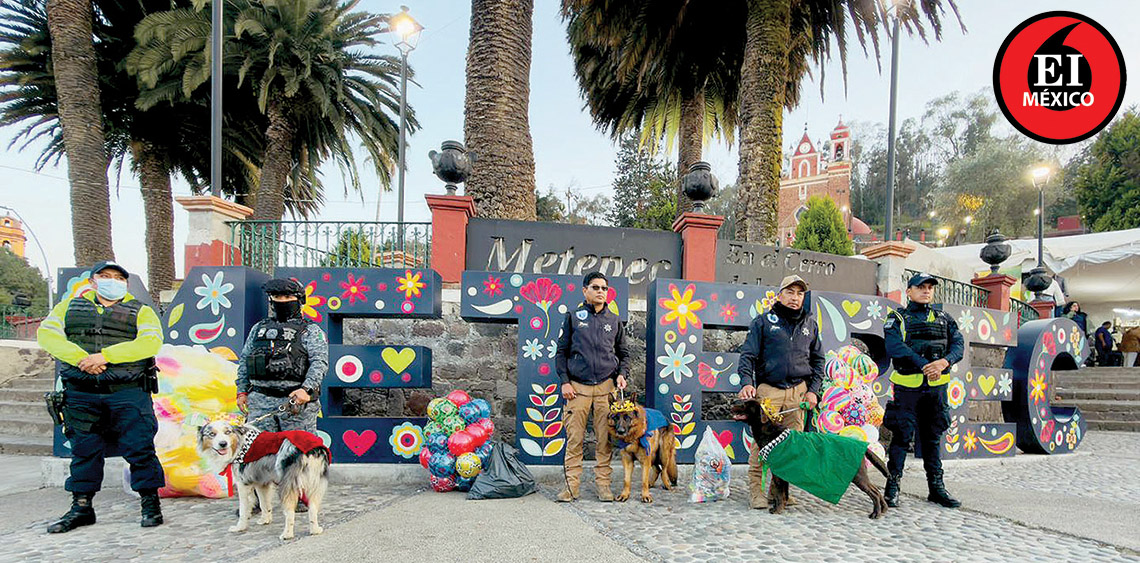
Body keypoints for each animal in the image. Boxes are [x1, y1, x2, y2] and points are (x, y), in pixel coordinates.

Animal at [197, 421, 331, 540]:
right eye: (212, 434)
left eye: (227, 432)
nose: (223, 444)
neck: (239, 443)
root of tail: (313, 450)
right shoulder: (262, 482)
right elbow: (264, 503)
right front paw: (265, 520)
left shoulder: (243, 483)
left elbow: (244, 509)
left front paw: (240, 527)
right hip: (315, 482)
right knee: (313, 508)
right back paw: (315, 530)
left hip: (288, 484)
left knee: (290, 512)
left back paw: (287, 534)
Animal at [731, 400, 889, 519]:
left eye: (745, 404)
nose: (732, 402)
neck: (770, 433)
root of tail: (864, 446)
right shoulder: (784, 472)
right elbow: (784, 492)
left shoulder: (778, 472)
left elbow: (779, 494)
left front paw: (777, 510)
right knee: (877, 491)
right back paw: (884, 510)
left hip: (858, 475)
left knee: (875, 492)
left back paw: (875, 514)